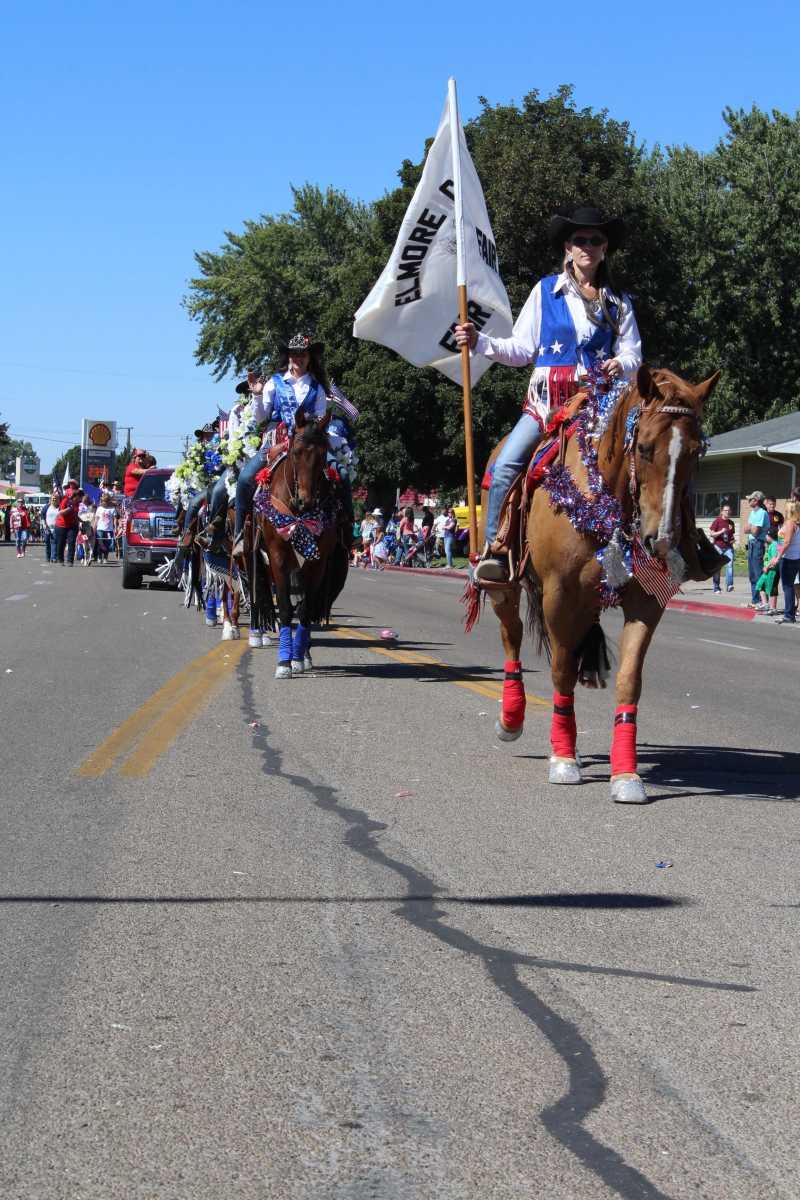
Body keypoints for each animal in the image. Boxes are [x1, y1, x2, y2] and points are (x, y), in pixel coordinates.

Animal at [248, 410, 350, 678]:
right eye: (295, 452)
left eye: (324, 453)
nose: (306, 501)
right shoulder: (277, 556)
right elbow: (284, 608)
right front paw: (284, 661)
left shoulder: (317, 561)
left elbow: (305, 610)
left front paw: (298, 657)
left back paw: (304, 652)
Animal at [481, 364, 722, 804]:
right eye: (643, 447)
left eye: (697, 452)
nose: (662, 539)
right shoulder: (560, 596)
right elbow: (561, 672)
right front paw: (563, 759)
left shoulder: (647, 602)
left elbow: (628, 680)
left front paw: (626, 774)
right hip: (506, 587)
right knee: (513, 636)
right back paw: (512, 719)